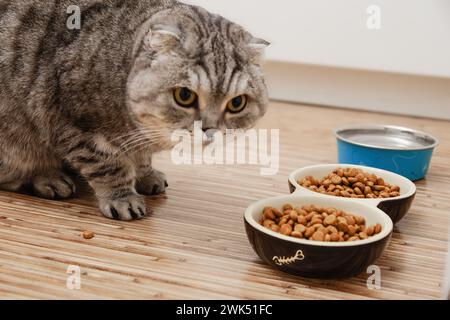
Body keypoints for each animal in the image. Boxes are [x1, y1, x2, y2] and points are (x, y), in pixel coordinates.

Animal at [0, 0, 268, 220]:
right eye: (184, 96)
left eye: (236, 103)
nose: (210, 130)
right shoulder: (76, 125)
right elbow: (108, 166)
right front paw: (122, 197)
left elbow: (141, 158)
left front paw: (145, 174)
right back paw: (47, 177)